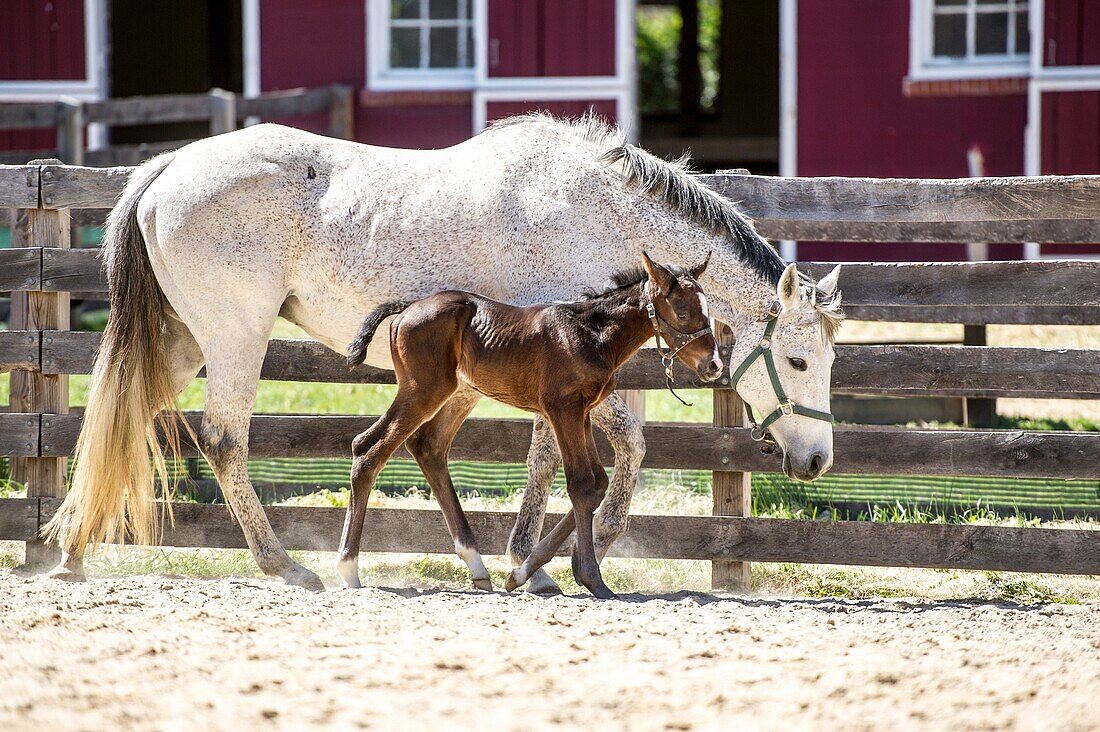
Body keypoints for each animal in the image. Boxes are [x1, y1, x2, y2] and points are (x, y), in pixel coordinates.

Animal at [341, 254, 721, 598]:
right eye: (683, 313)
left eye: (707, 312)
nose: (714, 365)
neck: (591, 333)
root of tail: (407, 309)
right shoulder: (562, 409)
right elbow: (582, 484)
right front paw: (592, 579)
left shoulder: (582, 412)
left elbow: (597, 483)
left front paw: (522, 574)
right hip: (423, 389)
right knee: (368, 448)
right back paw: (348, 569)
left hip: (453, 392)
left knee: (427, 446)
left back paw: (477, 567)